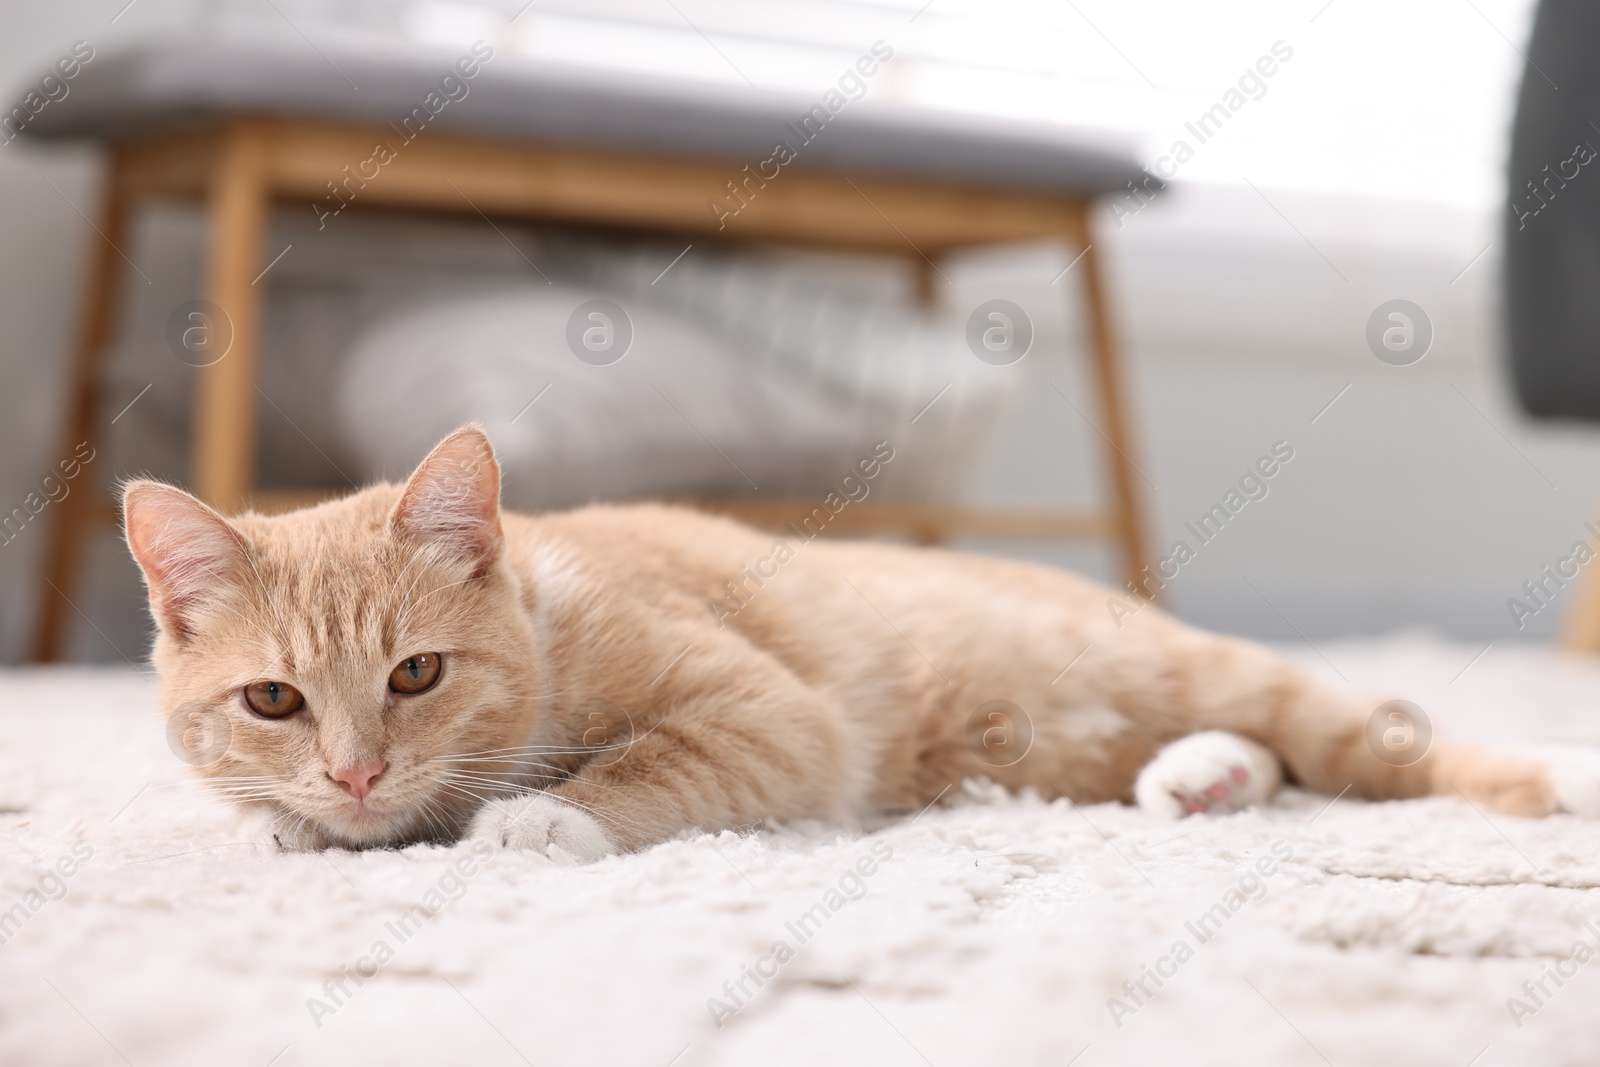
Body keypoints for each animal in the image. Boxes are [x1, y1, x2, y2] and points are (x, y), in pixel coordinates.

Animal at [121, 422, 1600, 857]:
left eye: (416, 672)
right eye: (272, 700)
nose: (357, 770)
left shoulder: (776, 716)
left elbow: (649, 764)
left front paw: (544, 816)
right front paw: (291, 820)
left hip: (1203, 669)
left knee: (1373, 739)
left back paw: (1556, 771)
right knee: (1266, 754)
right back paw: (1201, 777)